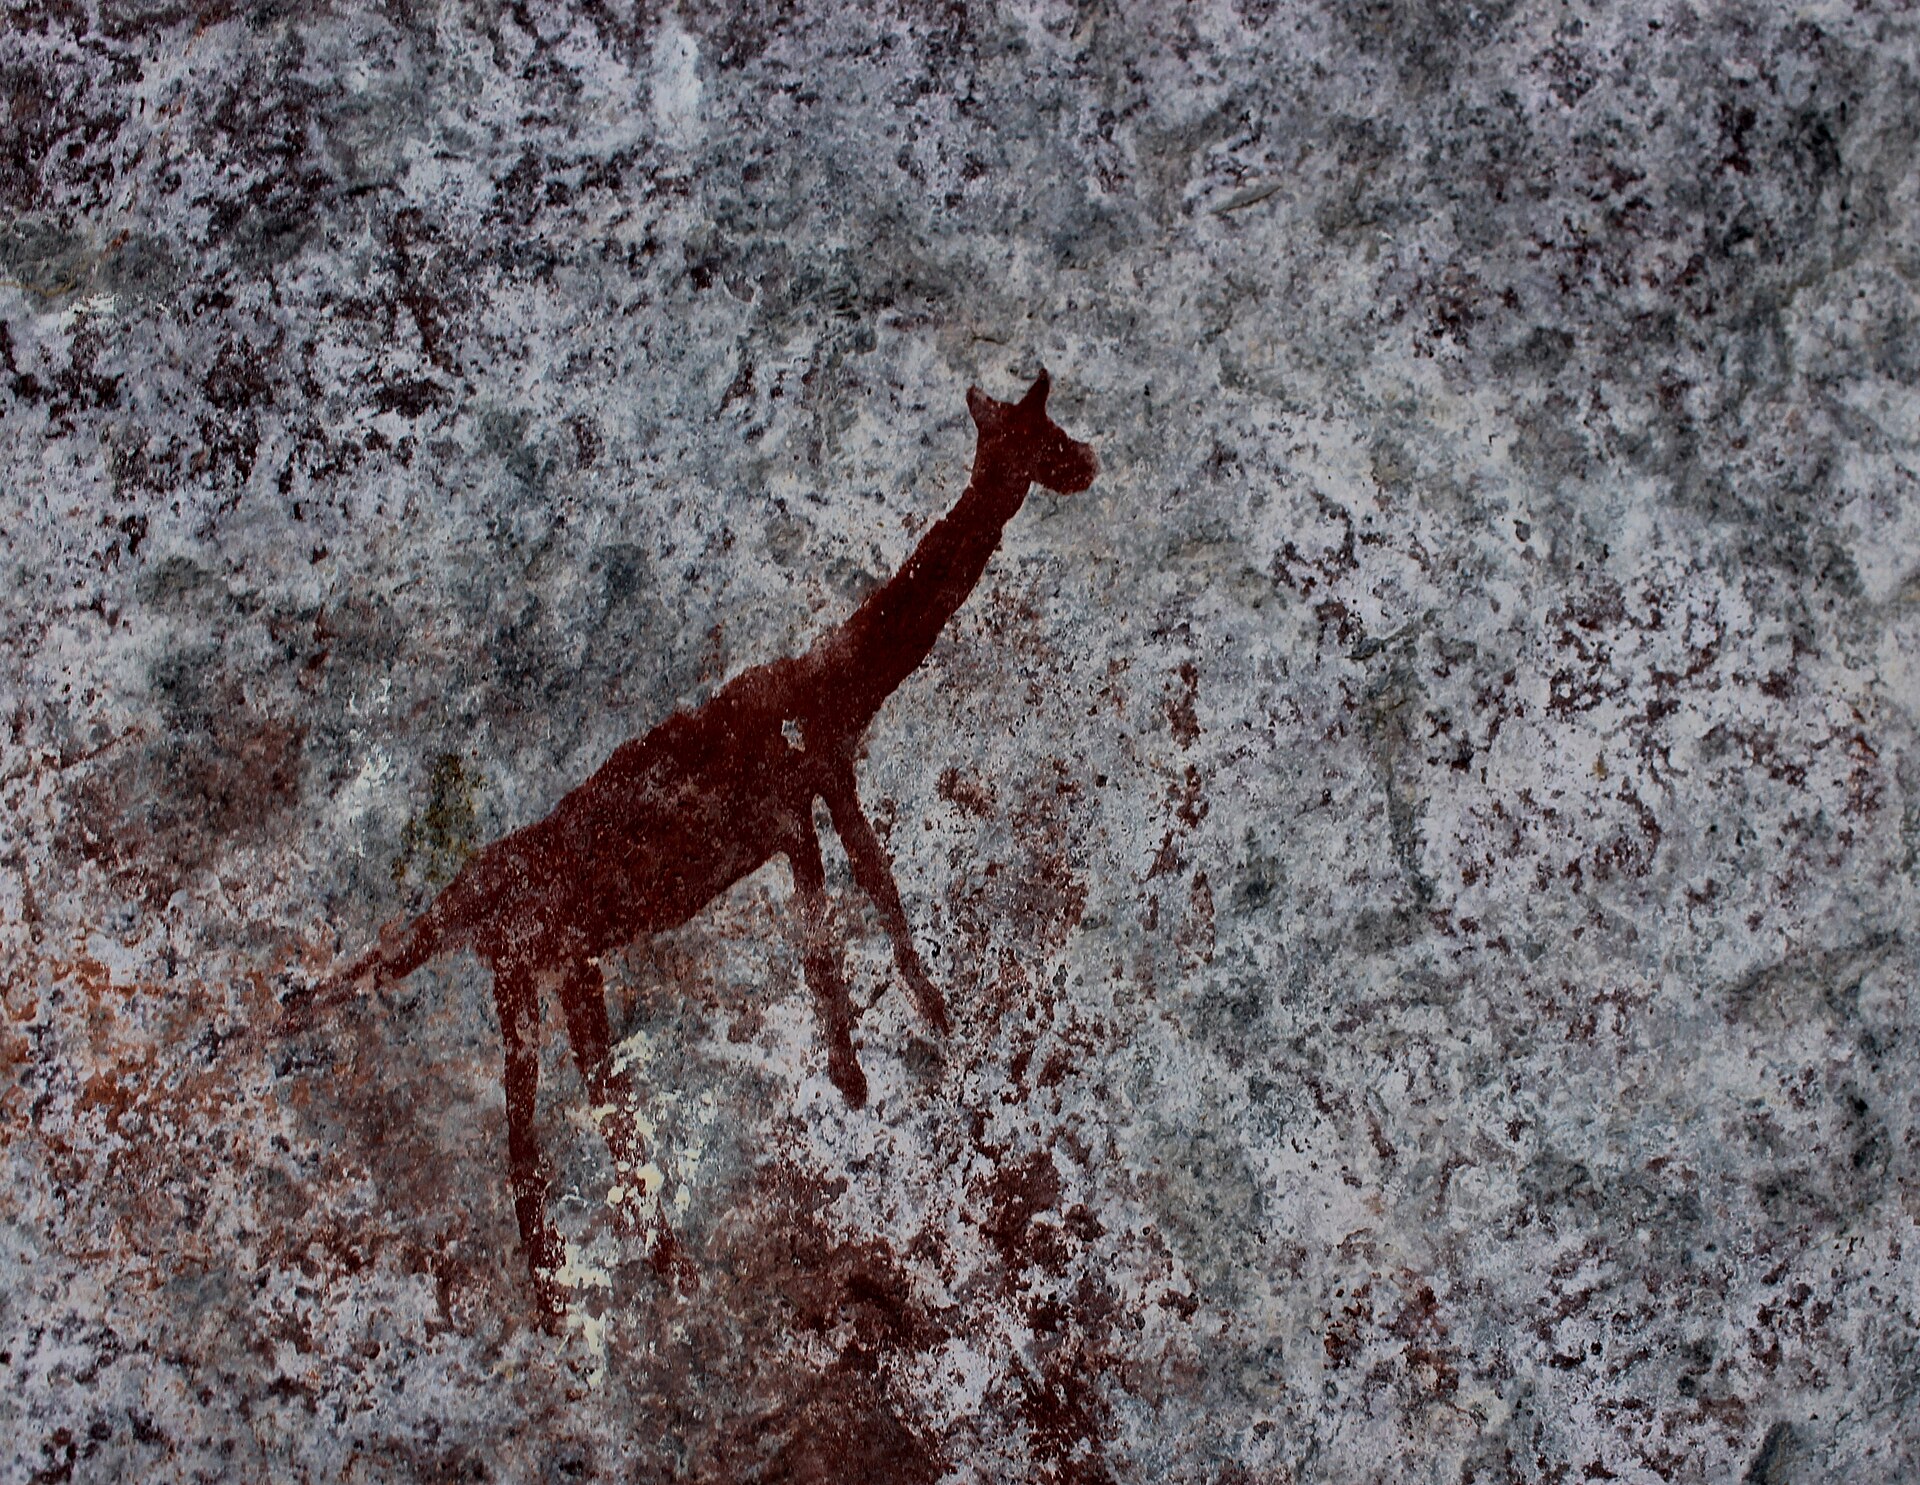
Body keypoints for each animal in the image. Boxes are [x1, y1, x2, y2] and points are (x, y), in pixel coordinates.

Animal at [297, 370, 1098, 1315]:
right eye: (1044, 436)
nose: (1091, 462)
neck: (836, 676)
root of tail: (465, 895)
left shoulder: (801, 812)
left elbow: (841, 916)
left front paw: (874, 1056)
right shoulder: (816, 790)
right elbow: (855, 909)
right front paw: (895, 1047)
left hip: (557, 968)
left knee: (580, 1099)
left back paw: (621, 1271)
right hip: (531, 968)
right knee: (536, 1120)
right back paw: (580, 1289)